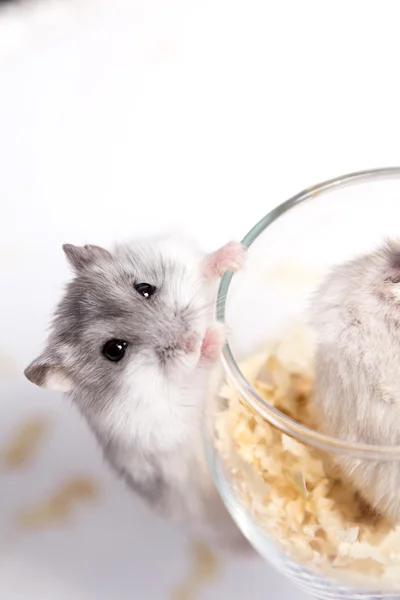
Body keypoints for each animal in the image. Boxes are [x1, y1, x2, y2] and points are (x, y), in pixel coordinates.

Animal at [24, 233, 247, 548]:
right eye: (114, 350)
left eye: (144, 289)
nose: (189, 339)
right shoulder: (167, 418)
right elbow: (197, 372)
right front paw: (216, 335)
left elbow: (200, 262)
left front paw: (235, 254)